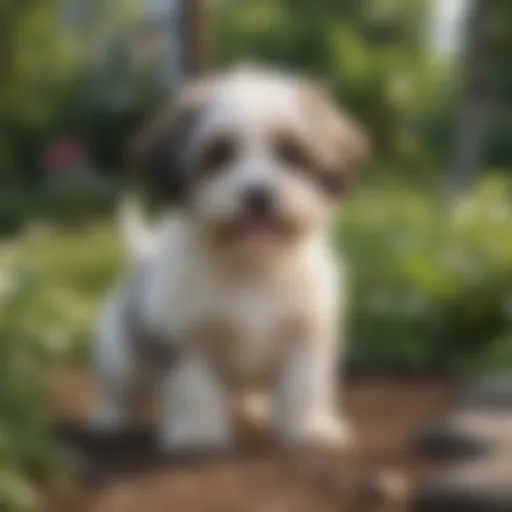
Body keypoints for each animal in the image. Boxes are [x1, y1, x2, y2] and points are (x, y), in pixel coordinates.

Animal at [92, 66, 370, 454]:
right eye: (219, 155)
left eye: (290, 153)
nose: (258, 194)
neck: (253, 268)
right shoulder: (186, 338)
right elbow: (193, 386)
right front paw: (197, 434)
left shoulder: (306, 333)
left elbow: (305, 385)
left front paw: (310, 428)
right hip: (119, 354)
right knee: (119, 388)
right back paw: (112, 420)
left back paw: (253, 408)